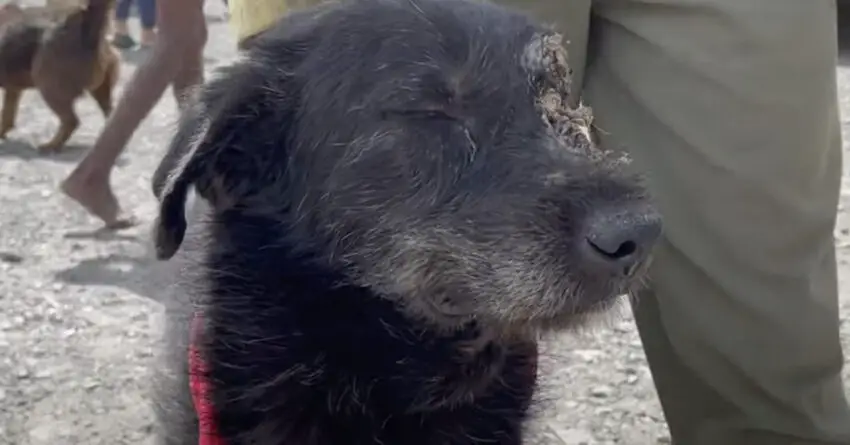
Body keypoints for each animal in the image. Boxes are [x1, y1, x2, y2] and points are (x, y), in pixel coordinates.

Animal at [0, 0, 117, 151]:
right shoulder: (13, 89)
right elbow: (7, 115)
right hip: (101, 90)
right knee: (111, 116)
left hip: (48, 85)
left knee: (71, 121)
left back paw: (51, 145)